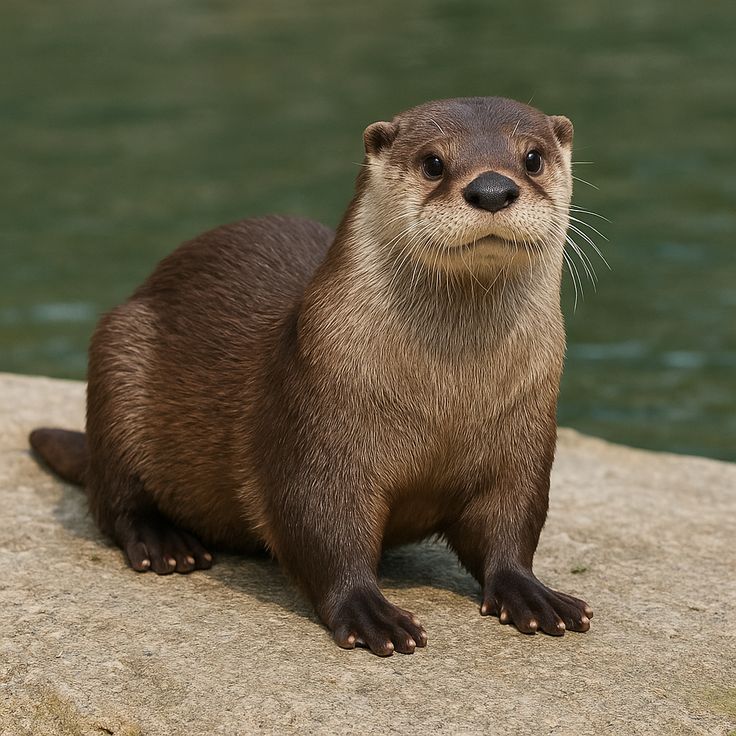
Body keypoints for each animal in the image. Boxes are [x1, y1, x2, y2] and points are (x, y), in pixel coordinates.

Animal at [30, 96, 593, 656]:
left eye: (533, 158)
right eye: (434, 162)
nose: (492, 188)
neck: (446, 399)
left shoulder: (524, 439)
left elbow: (511, 525)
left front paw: (532, 594)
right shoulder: (316, 424)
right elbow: (320, 526)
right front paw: (368, 611)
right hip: (119, 359)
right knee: (113, 501)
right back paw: (163, 542)